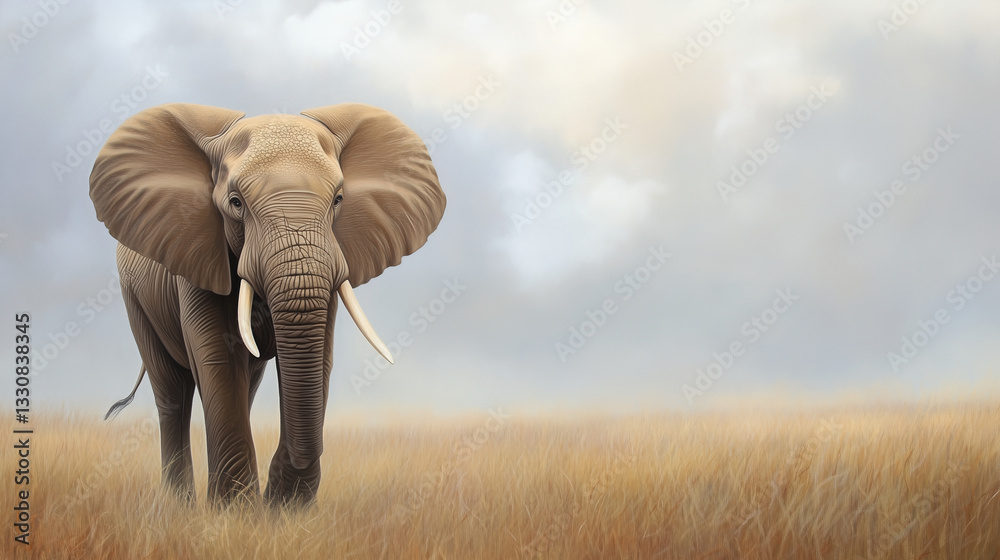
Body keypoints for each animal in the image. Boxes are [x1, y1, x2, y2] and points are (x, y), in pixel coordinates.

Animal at [89, 102, 445, 506]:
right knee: (173, 393)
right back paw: (179, 506)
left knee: (246, 384)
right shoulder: (197, 259)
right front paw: (235, 511)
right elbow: (218, 358)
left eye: (338, 199)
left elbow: (320, 357)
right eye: (235, 203)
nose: (275, 495)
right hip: (134, 298)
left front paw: (285, 510)